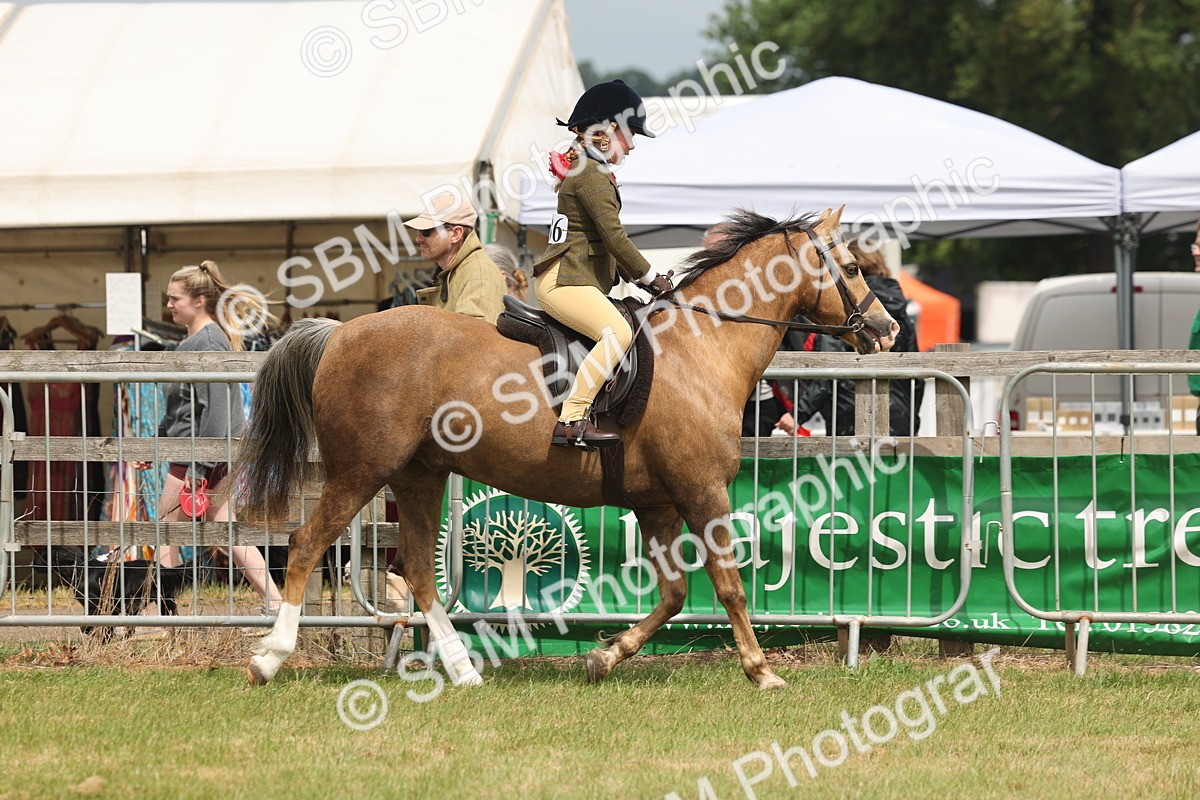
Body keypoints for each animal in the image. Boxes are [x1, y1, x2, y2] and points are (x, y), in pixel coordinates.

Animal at [240, 206, 899, 688]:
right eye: (851, 266)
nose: (888, 330)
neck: (703, 344)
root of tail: (341, 332)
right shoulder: (702, 491)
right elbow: (728, 583)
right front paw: (761, 672)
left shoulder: (657, 503)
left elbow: (674, 594)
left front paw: (602, 657)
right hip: (361, 470)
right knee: (305, 545)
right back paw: (270, 657)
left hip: (418, 474)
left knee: (421, 572)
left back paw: (463, 670)